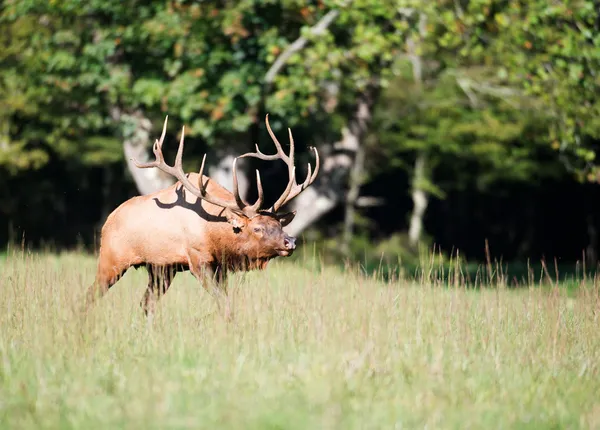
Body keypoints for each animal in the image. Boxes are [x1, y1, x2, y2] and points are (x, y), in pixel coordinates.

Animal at [85, 114, 322, 320]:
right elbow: (223, 303)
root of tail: (107, 221)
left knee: (146, 303)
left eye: (278, 224)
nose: (290, 241)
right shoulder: (197, 259)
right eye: (257, 228)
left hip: (161, 268)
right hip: (111, 259)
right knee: (91, 294)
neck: (215, 234)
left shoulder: (219, 265)